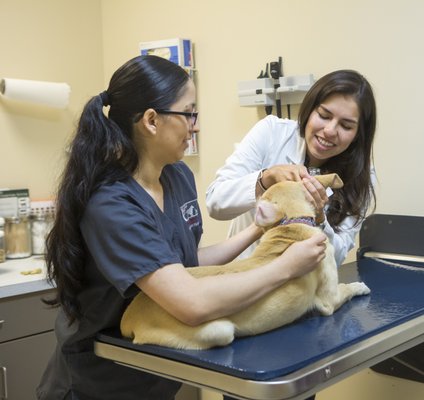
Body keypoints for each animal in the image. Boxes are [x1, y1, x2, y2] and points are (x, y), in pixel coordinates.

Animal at [121, 173, 370, 348]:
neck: (292, 223)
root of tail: (129, 318)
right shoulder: (329, 299)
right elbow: (346, 288)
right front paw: (360, 285)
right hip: (219, 330)